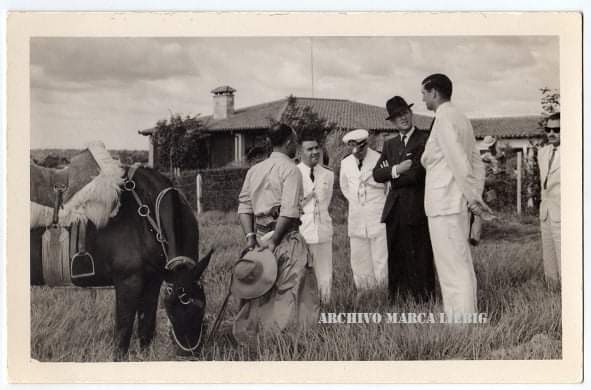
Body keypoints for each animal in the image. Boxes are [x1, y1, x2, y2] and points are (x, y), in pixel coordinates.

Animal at [30, 166, 214, 362]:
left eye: (202, 306)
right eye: (173, 306)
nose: (190, 354)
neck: (147, 214)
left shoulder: (152, 282)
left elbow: (146, 328)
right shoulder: (128, 283)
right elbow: (123, 333)